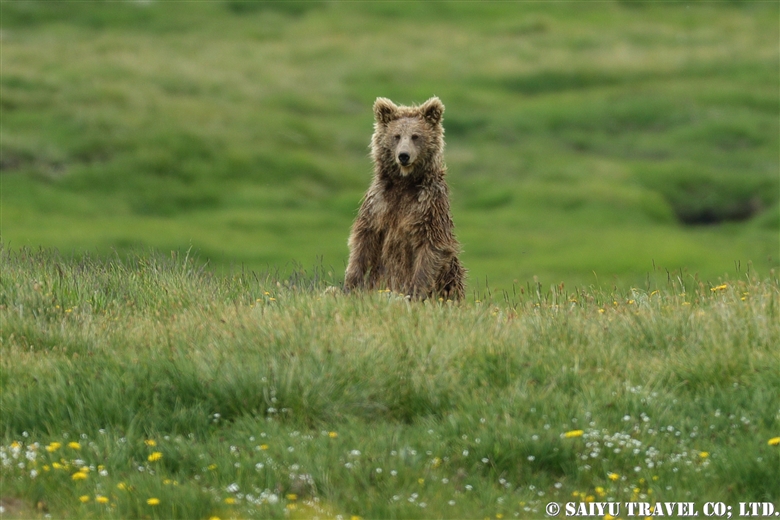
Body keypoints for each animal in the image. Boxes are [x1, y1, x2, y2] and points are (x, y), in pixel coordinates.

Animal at [346, 97, 466, 300]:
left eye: (415, 136)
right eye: (396, 136)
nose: (404, 155)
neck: (404, 183)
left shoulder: (428, 206)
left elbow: (431, 246)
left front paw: (415, 292)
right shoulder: (378, 204)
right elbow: (363, 240)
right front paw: (350, 284)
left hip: (451, 276)